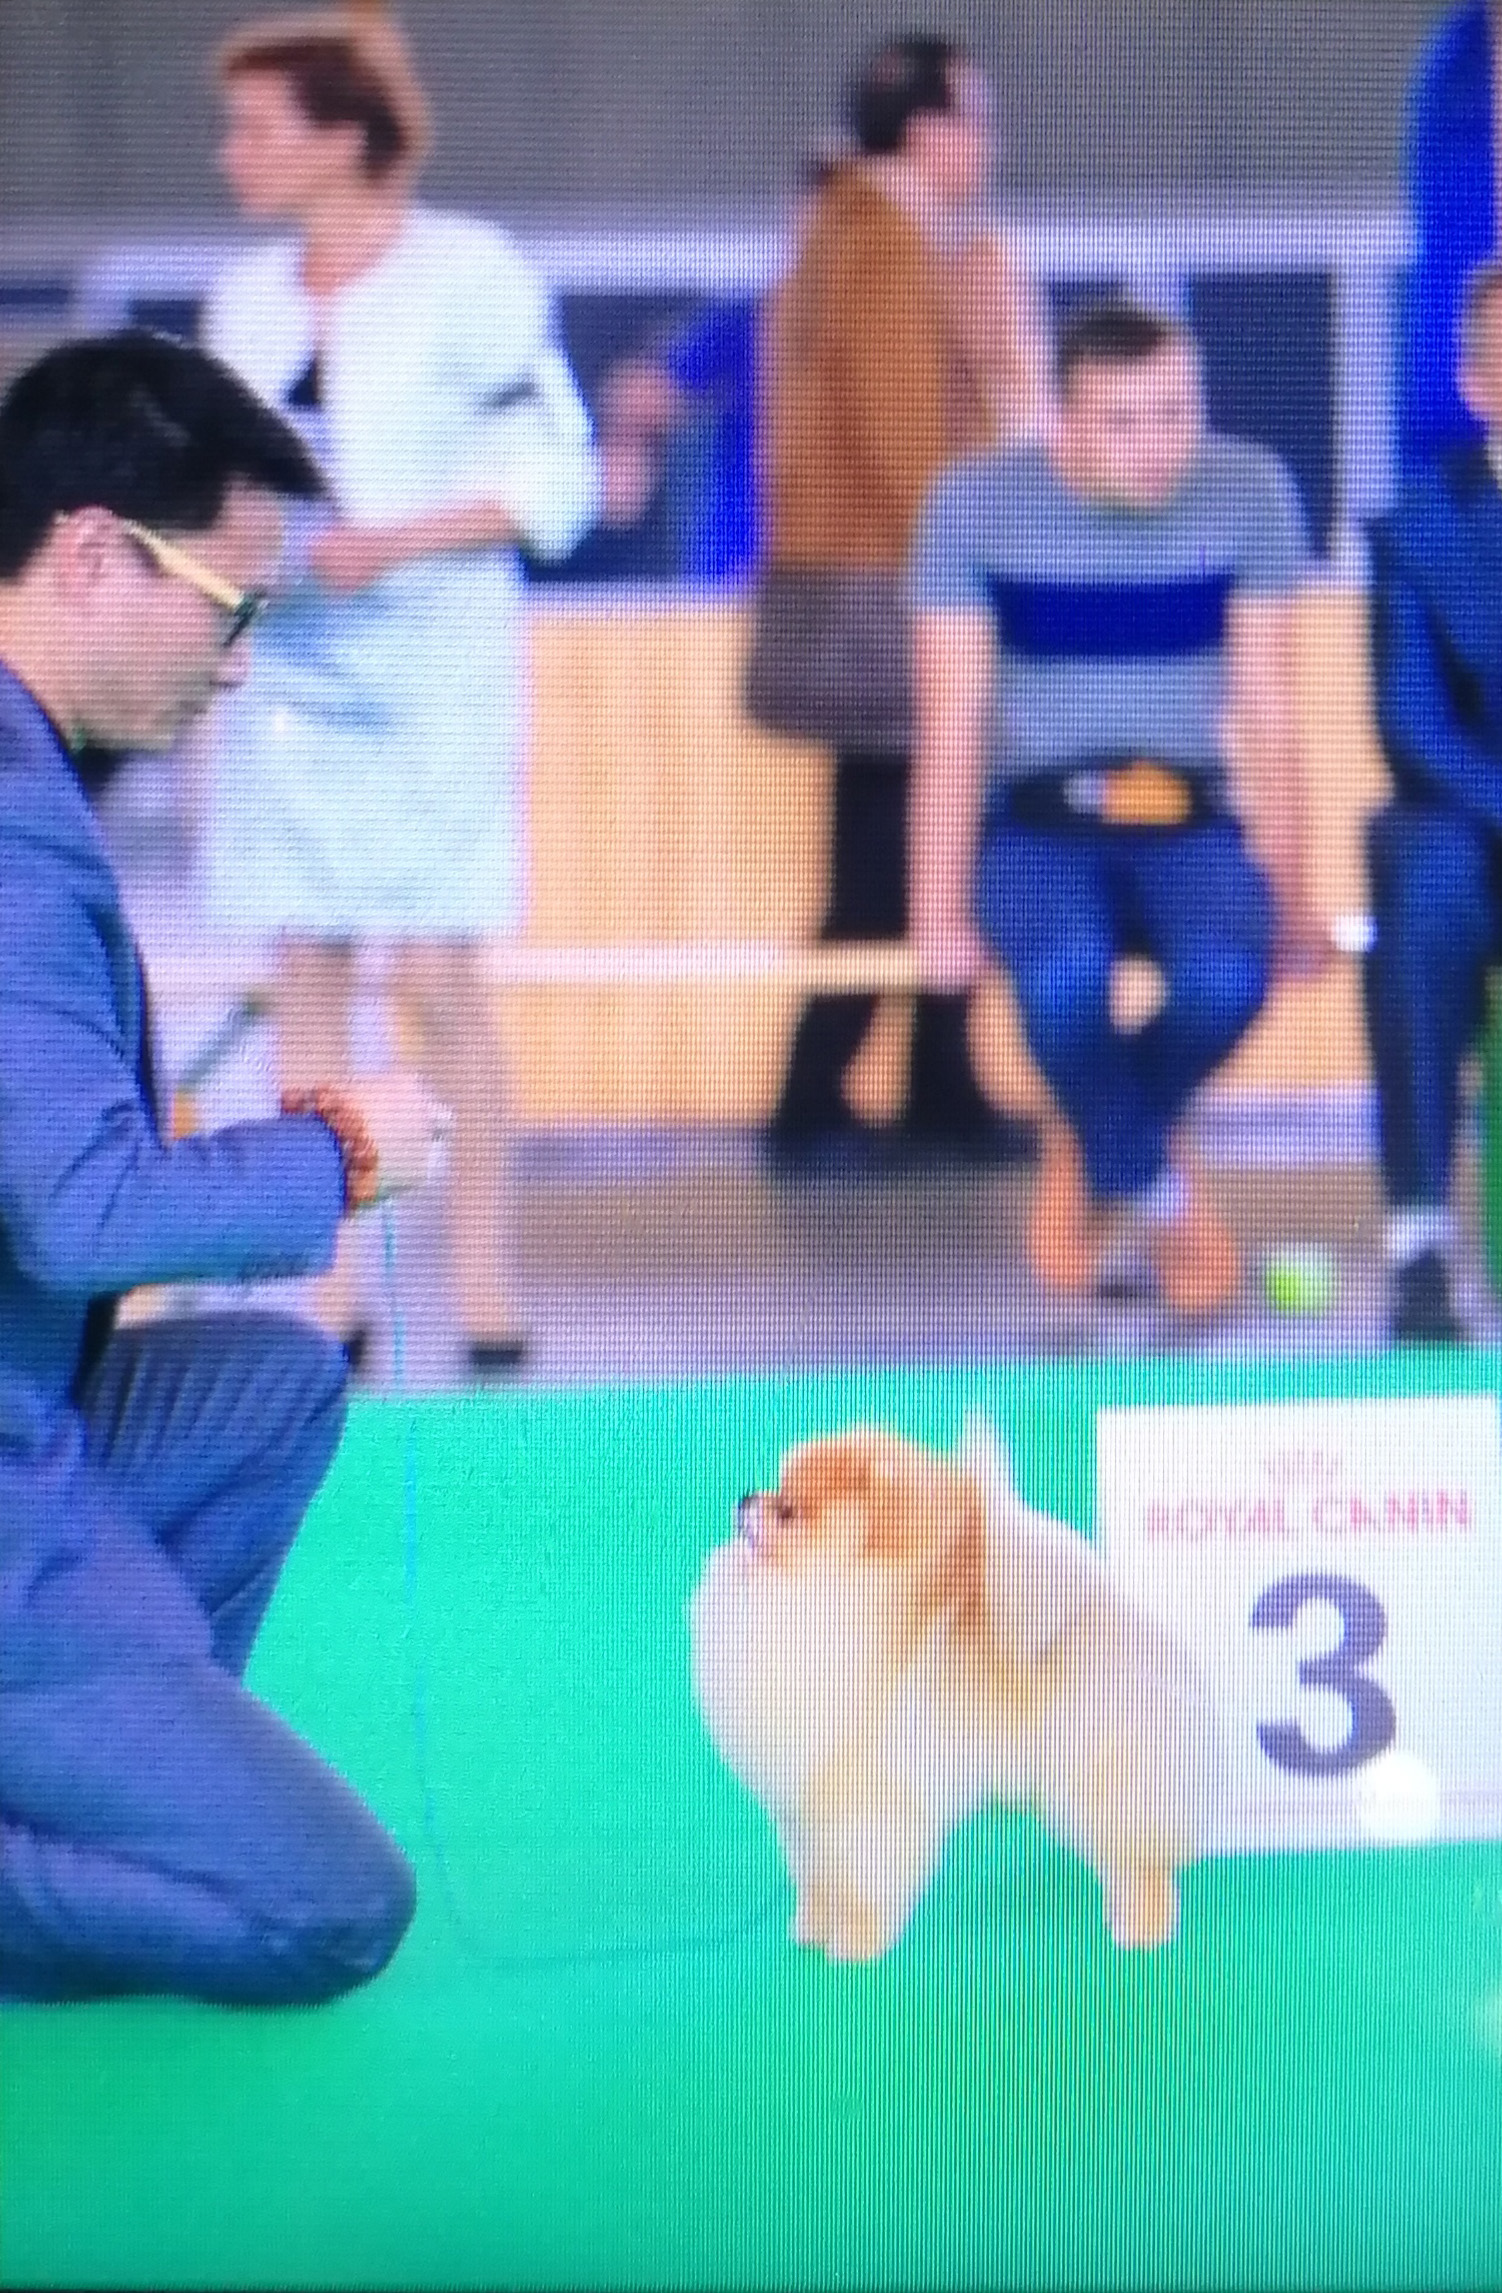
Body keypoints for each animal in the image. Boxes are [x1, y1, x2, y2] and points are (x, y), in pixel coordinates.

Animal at [686, 1417, 1224, 1963]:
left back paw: (1141, 1925)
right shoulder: (808, 1809)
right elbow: (818, 1874)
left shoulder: (867, 1800)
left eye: (788, 1511)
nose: (745, 1498)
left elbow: (859, 1879)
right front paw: (813, 1924)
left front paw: (855, 1939)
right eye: (773, 1490)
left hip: (1099, 1776)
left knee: (1140, 1857)